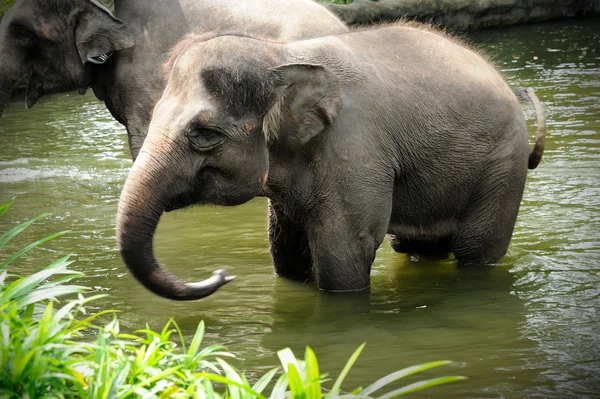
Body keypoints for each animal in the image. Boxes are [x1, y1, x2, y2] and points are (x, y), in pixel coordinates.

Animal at [113, 23, 548, 300]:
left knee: (477, 251)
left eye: (205, 134)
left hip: (501, 169)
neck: (281, 55)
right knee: (418, 247)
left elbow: (346, 255)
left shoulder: (354, 149)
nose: (221, 273)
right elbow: (287, 257)